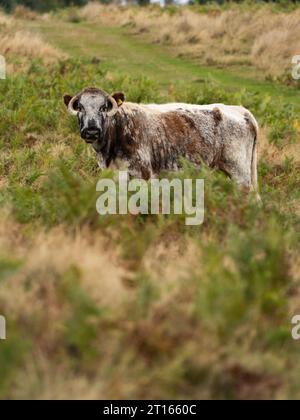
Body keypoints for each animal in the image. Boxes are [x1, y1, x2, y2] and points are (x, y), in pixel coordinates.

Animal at [63, 87, 260, 195]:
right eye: (80, 107)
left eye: (104, 107)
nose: (91, 130)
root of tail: (240, 109)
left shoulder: (143, 173)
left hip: (240, 172)